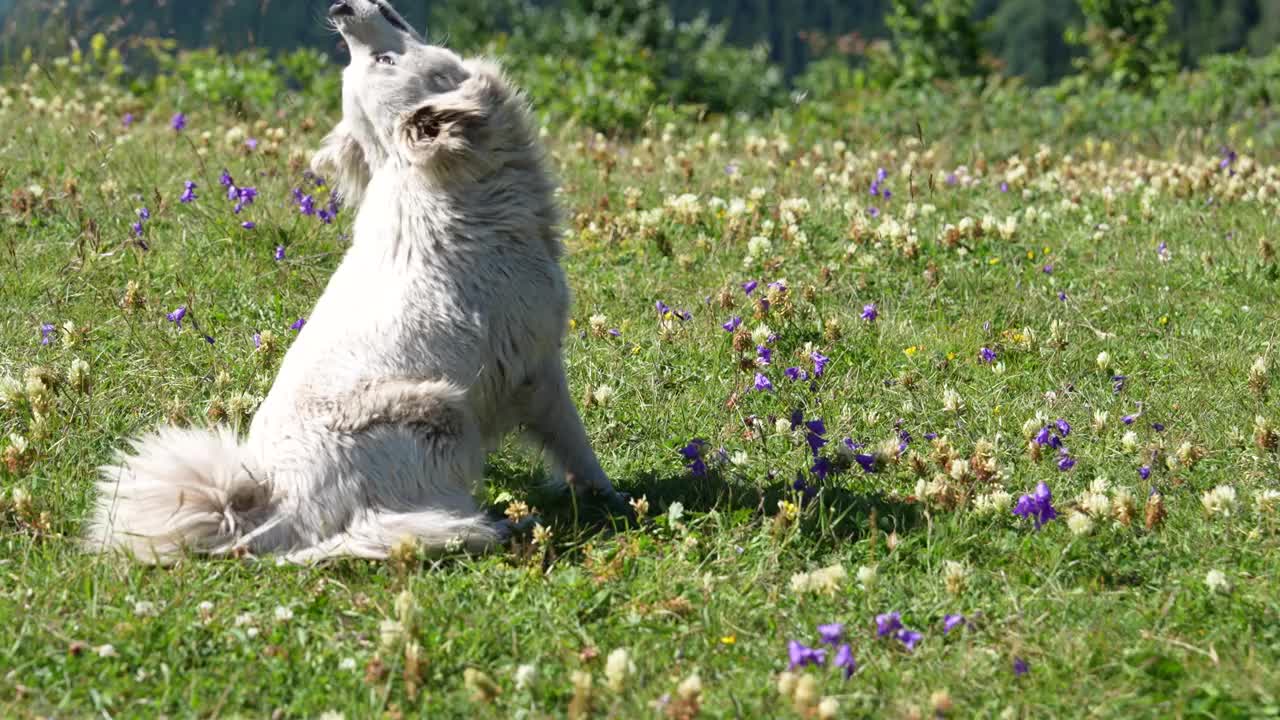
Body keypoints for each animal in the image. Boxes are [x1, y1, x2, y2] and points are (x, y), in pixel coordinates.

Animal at [85, 0, 624, 561]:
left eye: (380, 60)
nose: (339, 9)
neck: (436, 180)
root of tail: (276, 509)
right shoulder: (536, 366)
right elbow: (575, 444)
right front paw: (611, 498)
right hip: (445, 413)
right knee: (398, 525)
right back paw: (502, 528)